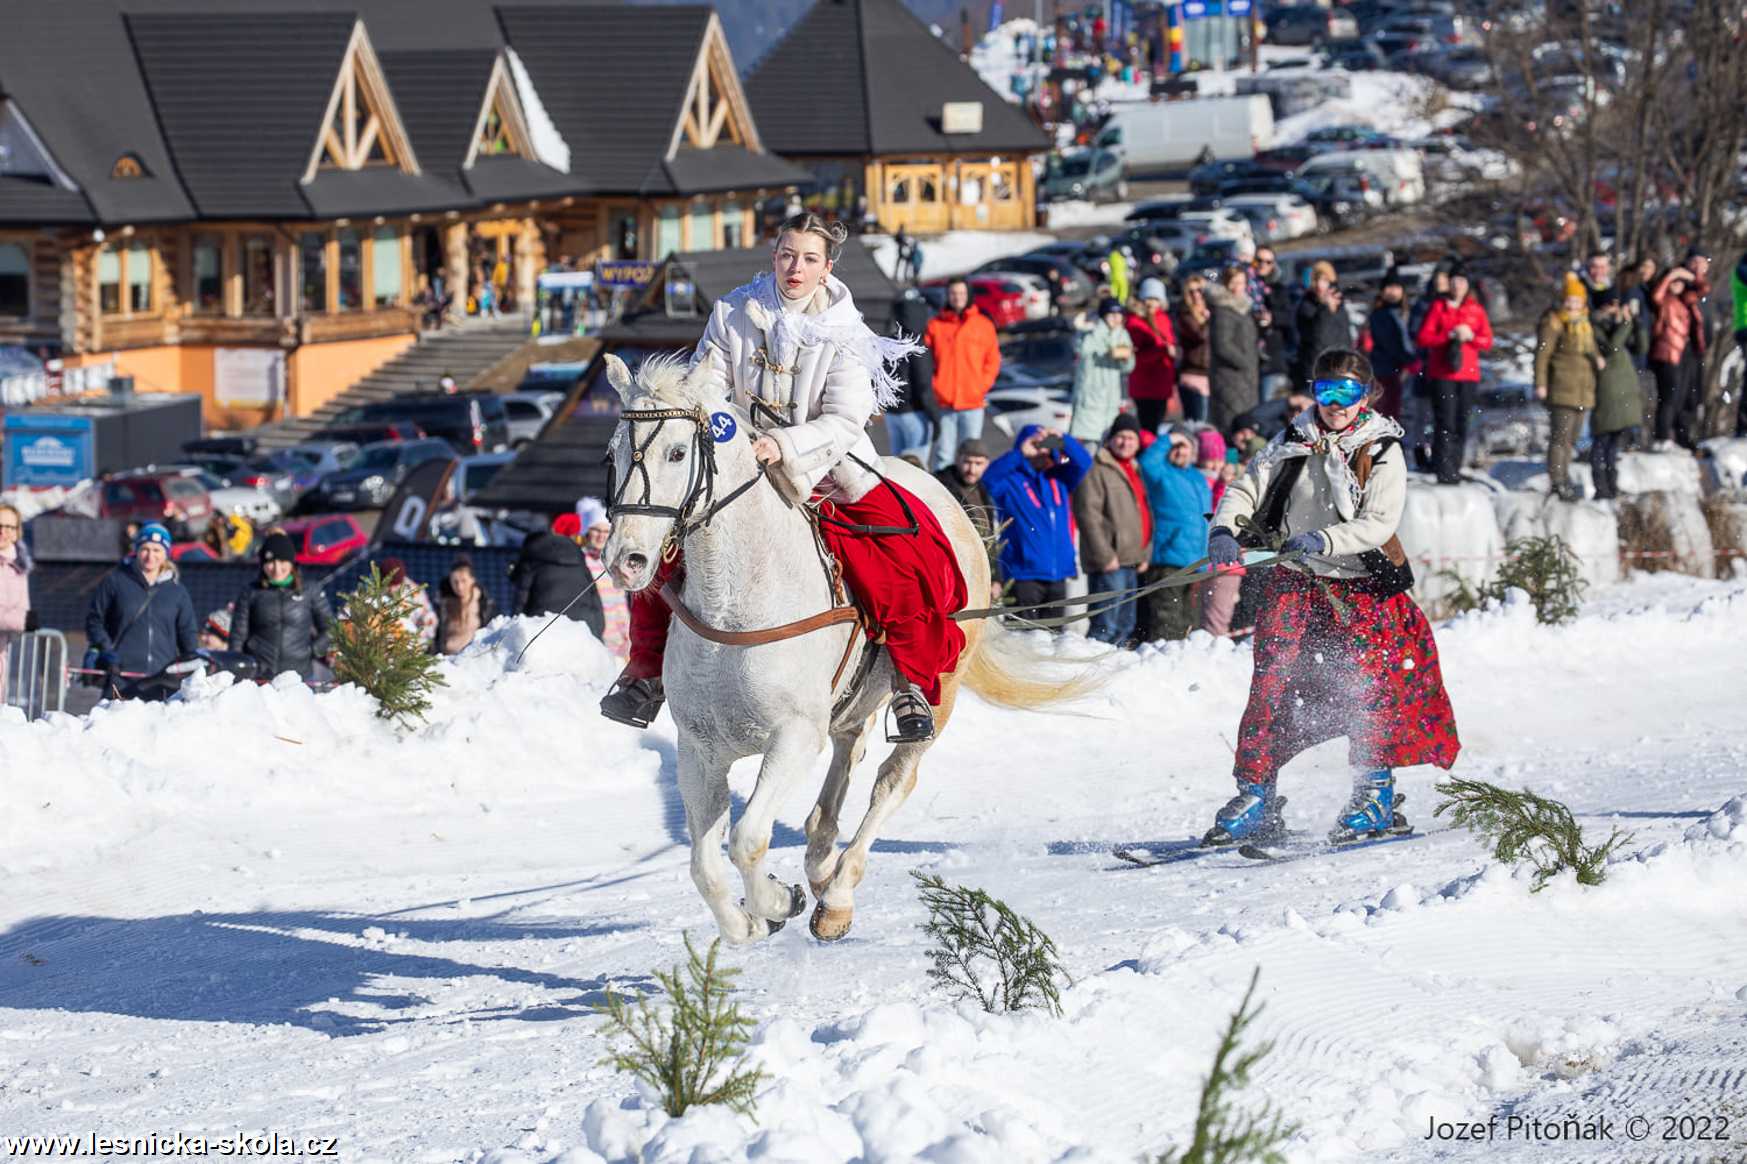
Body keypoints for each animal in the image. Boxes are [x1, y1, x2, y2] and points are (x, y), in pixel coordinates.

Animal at [607, 349, 1083, 936]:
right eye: (613, 452)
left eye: (677, 452)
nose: (626, 560)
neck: (734, 601)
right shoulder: (700, 748)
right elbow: (704, 864)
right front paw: (748, 923)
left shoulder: (792, 738)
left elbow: (746, 840)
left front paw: (775, 902)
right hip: (853, 703)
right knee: (846, 758)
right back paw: (817, 861)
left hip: (939, 690)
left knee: (892, 782)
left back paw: (835, 895)